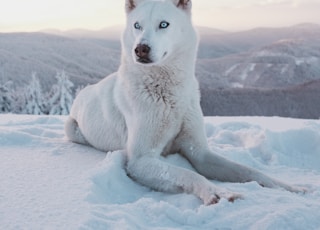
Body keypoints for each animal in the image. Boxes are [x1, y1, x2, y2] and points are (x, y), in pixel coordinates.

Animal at [64, 0, 302, 204]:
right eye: (137, 25)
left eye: (163, 24)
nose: (140, 49)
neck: (168, 94)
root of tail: (84, 91)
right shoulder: (140, 160)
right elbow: (188, 174)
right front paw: (217, 192)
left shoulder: (200, 153)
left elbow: (248, 170)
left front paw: (288, 187)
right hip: (72, 128)